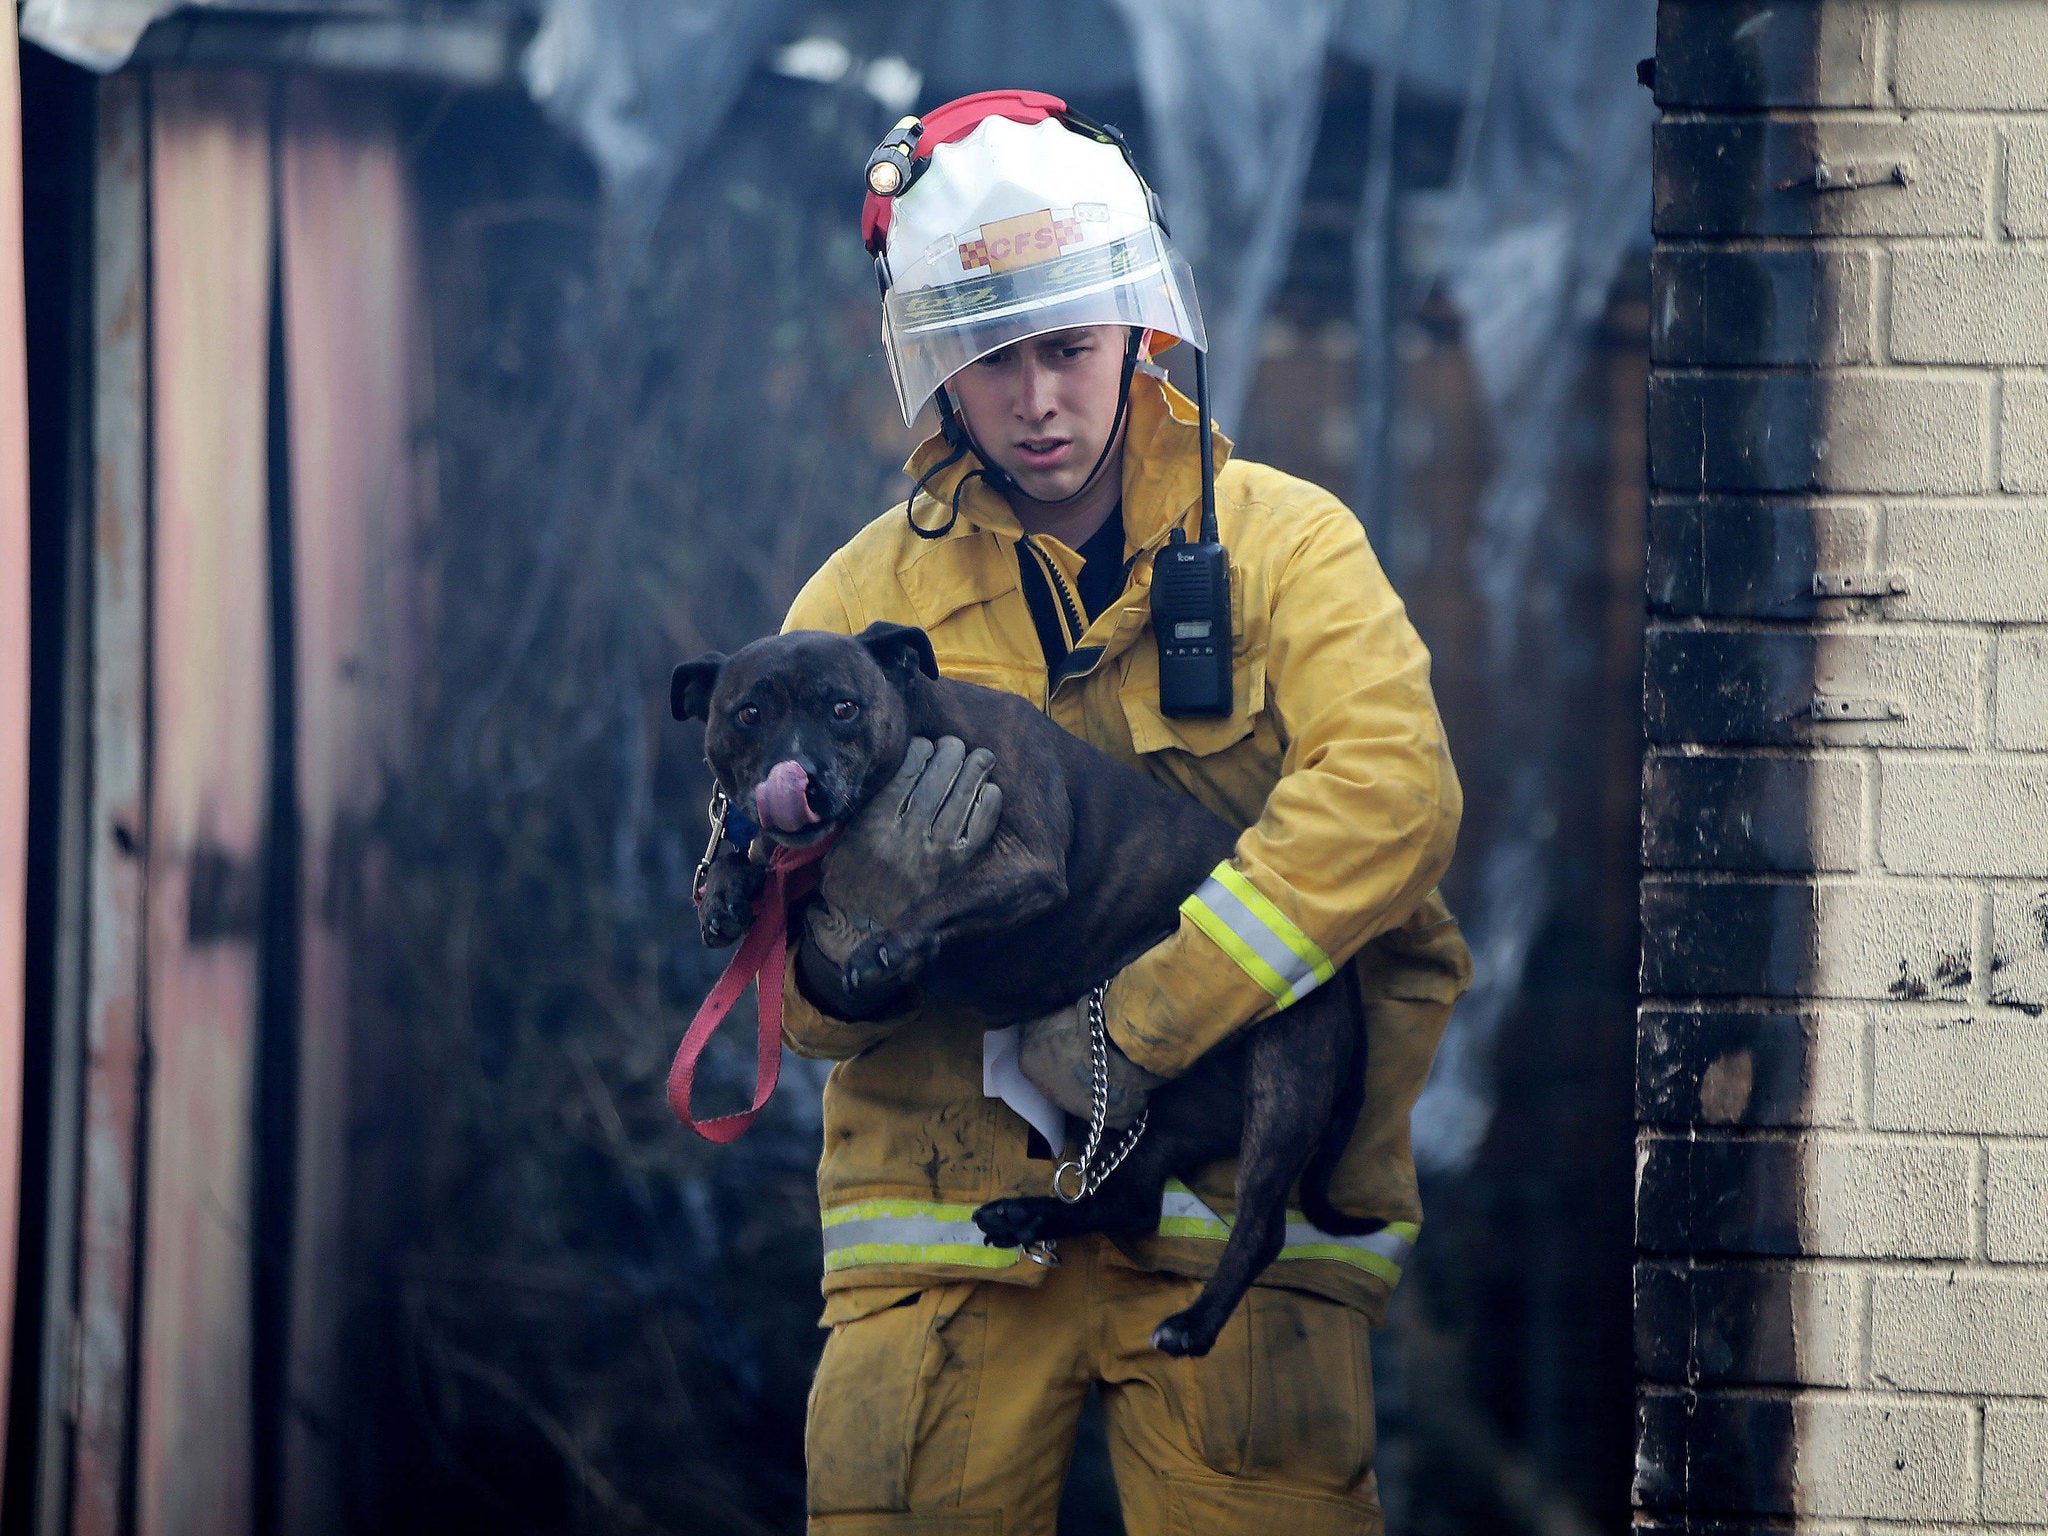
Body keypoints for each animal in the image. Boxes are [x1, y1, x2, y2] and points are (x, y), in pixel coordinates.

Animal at [671, 618, 1376, 1351]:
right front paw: (725, 890)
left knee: (1261, 1226)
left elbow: (938, 901)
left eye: (844, 707)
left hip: (1282, 1084)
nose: (800, 778)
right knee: (1135, 1203)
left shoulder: (1025, 864)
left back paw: (1191, 1325)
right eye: (749, 714)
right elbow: (763, 865)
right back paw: (1031, 1218)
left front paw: (886, 945)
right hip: (1179, 1109)